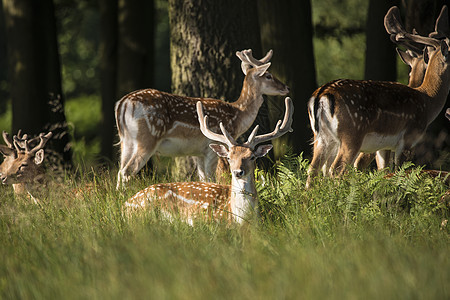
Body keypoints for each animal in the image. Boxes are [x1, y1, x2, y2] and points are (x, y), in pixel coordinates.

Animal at [116, 48, 290, 188]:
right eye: (268, 76)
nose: (286, 87)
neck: (237, 114)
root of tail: (123, 104)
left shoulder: (198, 152)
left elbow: (203, 179)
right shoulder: (211, 147)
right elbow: (212, 178)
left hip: (126, 140)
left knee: (120, 170)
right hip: (147, 138)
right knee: (127, 171)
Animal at [306, 5, 450, 188]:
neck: (428, 100)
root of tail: (322, 95)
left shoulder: (383, 146)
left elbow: (384, 172)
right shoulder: (407, 139)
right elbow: (400, 172)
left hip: (322, 137)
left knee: (313, 170)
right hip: (351, 134)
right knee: (337, 169)